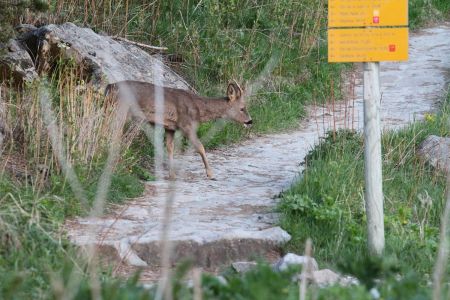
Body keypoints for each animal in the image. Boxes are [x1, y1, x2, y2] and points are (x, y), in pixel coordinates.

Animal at [106, 80, 253, 178]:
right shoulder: (186, 124)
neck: (198, 109)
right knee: (115, 136)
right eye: (242, 108)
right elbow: (200, 147)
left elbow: (170, 148)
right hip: (121, 110)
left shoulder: (170, 128)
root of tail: (109, 87)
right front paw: (210, 174)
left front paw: (172, 175)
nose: (250, 121)